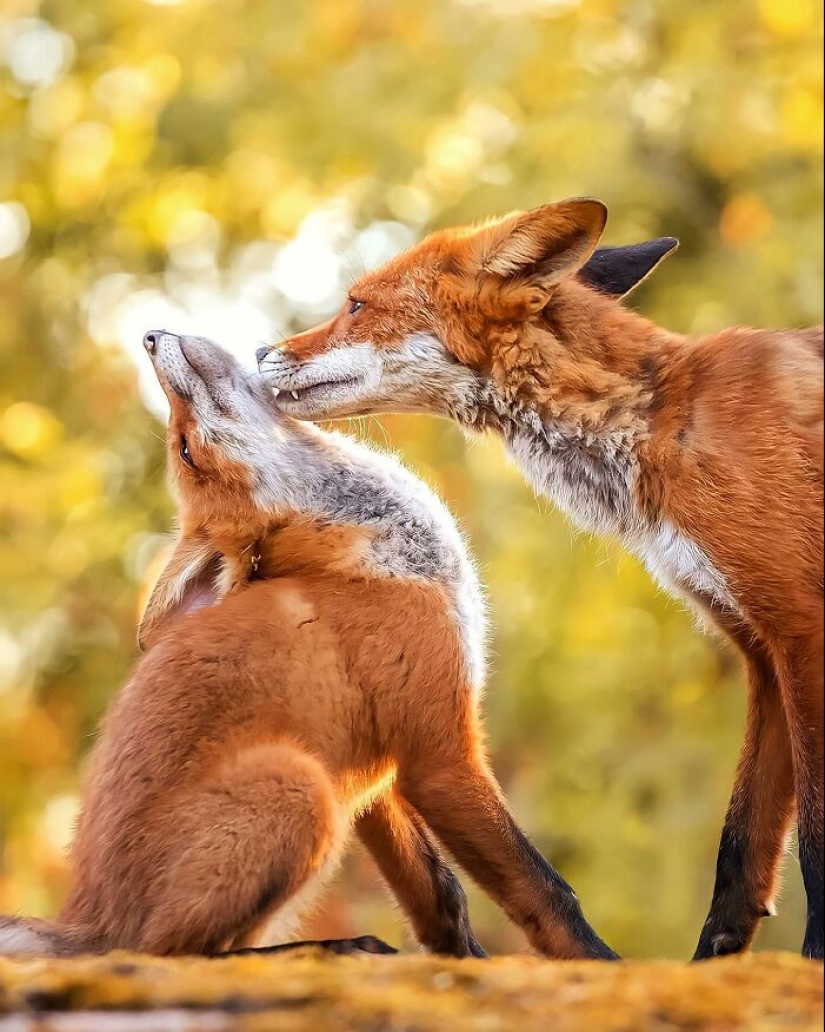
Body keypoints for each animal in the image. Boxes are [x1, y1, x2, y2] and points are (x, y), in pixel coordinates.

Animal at [0, 334, 619, 961]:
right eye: (187, 450)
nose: (149, 339)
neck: (377, 557)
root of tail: (88, 922)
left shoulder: (377, 775)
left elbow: (439, 891)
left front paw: (459, 957)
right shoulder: (436, 753)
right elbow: (545, 890)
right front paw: (594, 960)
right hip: (299, 787)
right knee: (174, 951)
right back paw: (329, 947)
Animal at [260, 199, 825, 957]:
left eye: (355, 304)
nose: (259, 354)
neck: (664, 422)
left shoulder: (801, 627)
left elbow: (815, 843)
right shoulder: (760, 646)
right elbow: (740, 852)